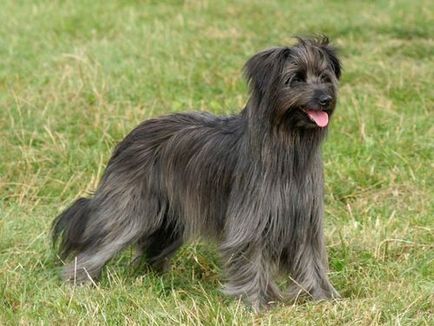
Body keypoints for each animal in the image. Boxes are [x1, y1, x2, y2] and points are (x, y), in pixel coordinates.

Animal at [51, 36, 342, 310]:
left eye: (324, 77)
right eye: (295, 79)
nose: (326, 99)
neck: (286, 150)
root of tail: (129, 138)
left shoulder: (305, 222)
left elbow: (312, 261)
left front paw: (323, 298)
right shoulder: (250, 222)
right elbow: (251, 259)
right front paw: (254, 303)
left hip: (168, 220)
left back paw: (152, 278)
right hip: (130, 209)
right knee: (99, 245)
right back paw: (79, 281)